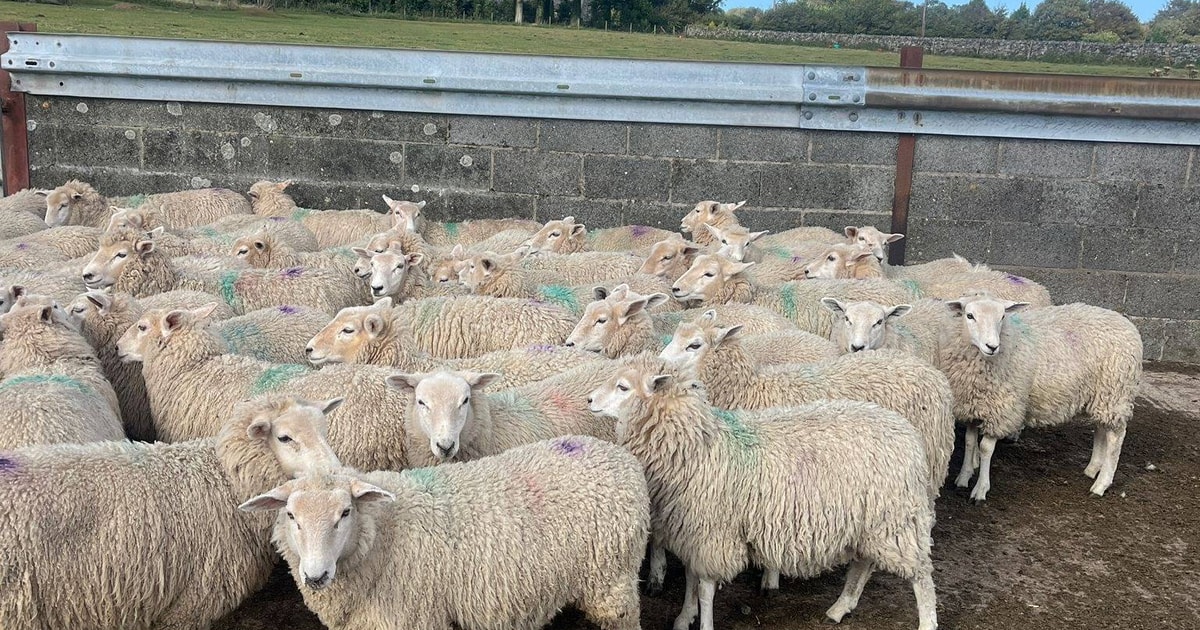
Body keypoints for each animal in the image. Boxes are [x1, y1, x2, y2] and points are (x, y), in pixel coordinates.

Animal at [240, 436, 649, 630]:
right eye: (290, 515)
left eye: (345, 512)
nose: (315, 575)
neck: (383, 537)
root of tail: (618, 456)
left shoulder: (413, 617)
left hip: (613, 579)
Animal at [587, 355, 938, 630]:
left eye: (623, 387)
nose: (589, 400)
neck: (696, 445)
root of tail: (907, 432)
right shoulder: (692, 530)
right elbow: (690, 579)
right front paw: (684, 618)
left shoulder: (713, 532)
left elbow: (705, 588)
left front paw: (703, 622)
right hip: (872, 520)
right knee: (864, 562)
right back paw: (840, 607)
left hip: (896, 517)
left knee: (921, 574)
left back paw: (927, 621)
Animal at [942, 293, 1142, 501]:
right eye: (970, 315)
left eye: (1002, 317)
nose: (992, 346)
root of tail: (1127, 323)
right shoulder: (972, 406)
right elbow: (969, 441)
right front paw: (963, 477)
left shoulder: (1002, 410)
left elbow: (985, 449)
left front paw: (980, 489)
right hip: (1101, 396)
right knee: (1101, 429)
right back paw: (1093, 469)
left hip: (1116, 392)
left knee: (1115, 438)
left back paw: (1101, 484)